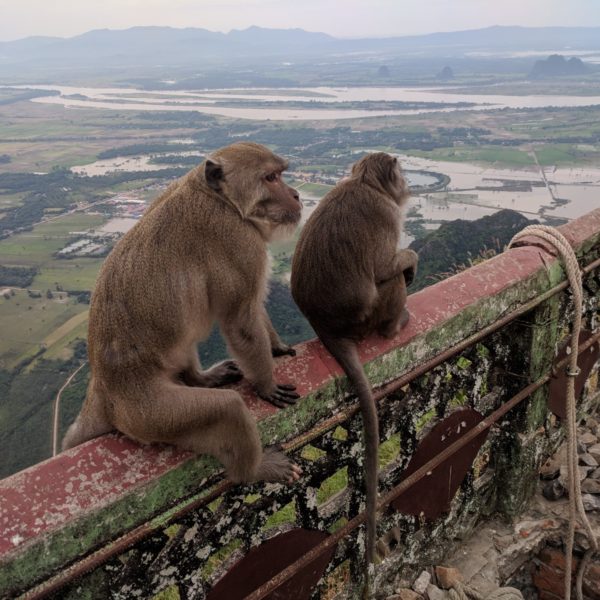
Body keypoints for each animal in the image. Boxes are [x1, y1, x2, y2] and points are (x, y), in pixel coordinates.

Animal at [63, 143, 302, 486]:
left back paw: (200, 378)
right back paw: (255, 469)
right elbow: (242, 320)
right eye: (271, 178)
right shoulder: (238, 239)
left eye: (281, 174)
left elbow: (253, 308)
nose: (295, 195)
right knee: (228, 409)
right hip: (150, 416)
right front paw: (267, 384)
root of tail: (102, 390)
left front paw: (277, 347)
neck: (221, 200)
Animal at [290, 151, 418, 572]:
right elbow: (385, 267)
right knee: (391, 280)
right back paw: (396, 325)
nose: (408, 185)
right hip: (368, 317)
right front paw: (411, 259)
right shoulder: (386, 213)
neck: (366, 184)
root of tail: (325, 328)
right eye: (401, 175)